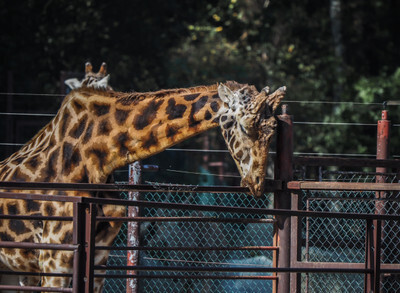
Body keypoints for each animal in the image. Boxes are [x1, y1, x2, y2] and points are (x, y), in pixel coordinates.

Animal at [0, 80, 288, 290]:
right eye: (244, 125)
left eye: (273, 130)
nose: (257, 183)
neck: (98, 156)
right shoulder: (53, 258)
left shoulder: (98, 256)